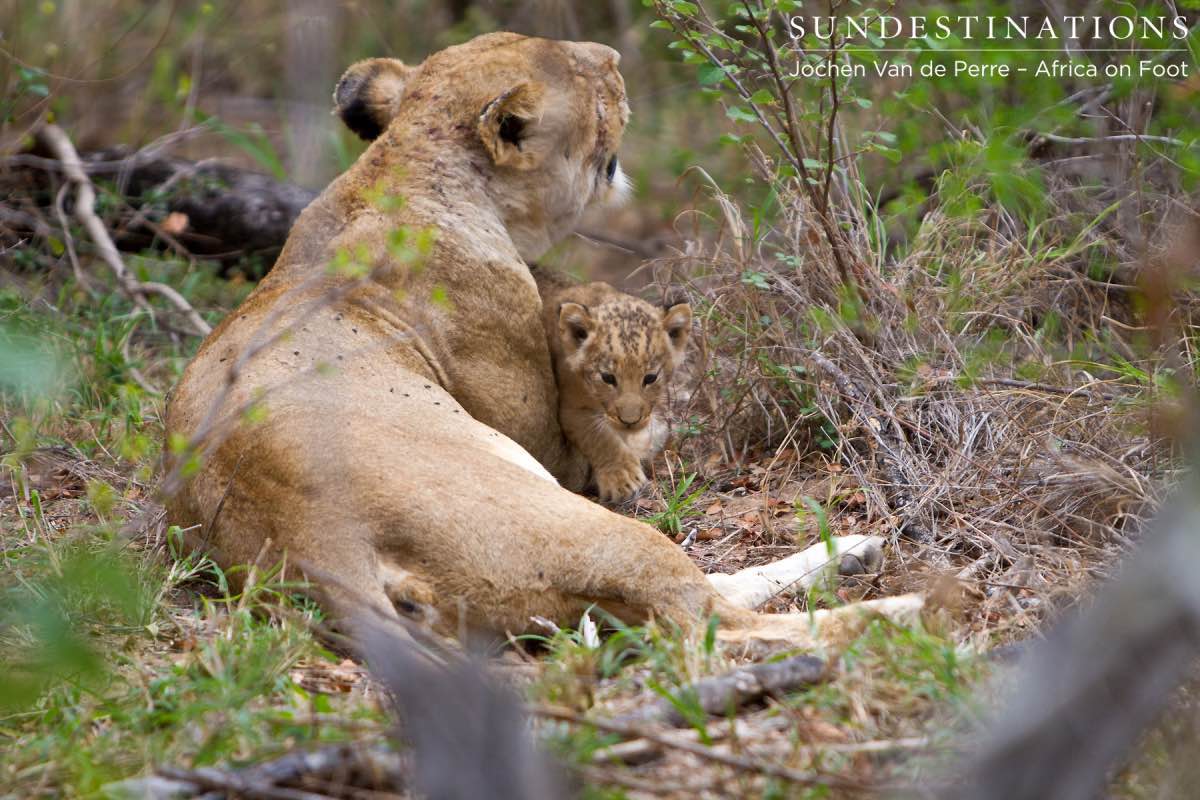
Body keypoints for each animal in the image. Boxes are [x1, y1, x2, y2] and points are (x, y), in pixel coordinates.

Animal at [535, 276, 691, 502]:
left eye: (650, 378)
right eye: (607, 378)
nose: (630, 421)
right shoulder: (570, 407)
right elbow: (599, 437)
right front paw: (623, 479)